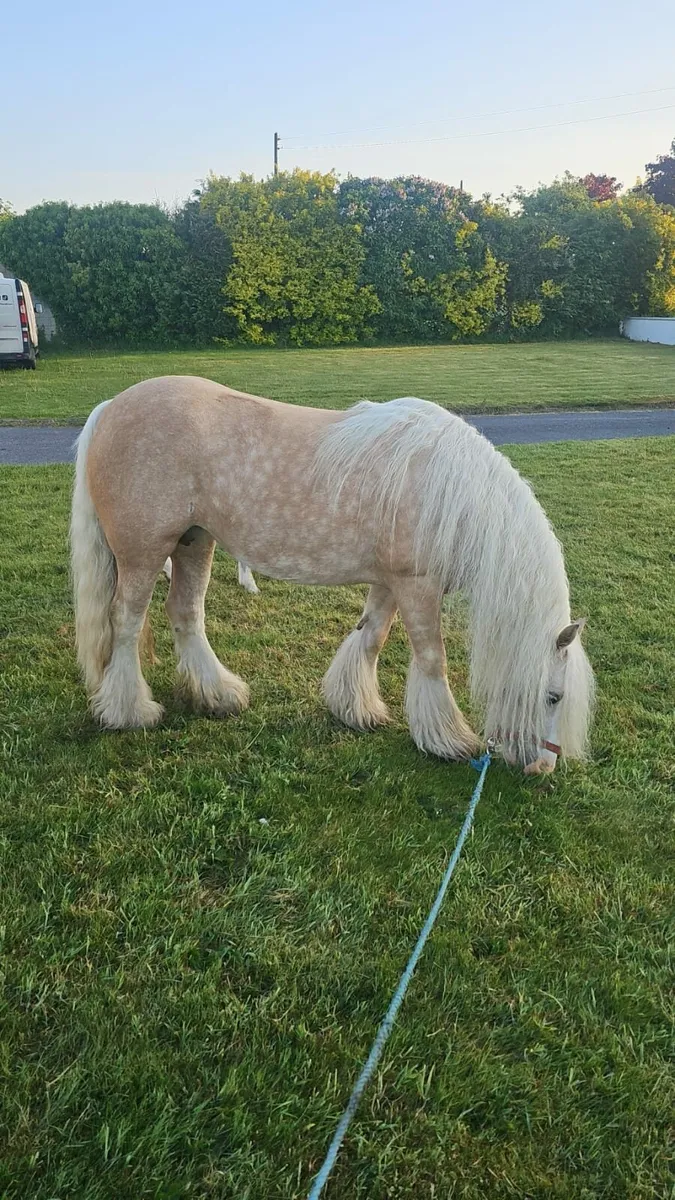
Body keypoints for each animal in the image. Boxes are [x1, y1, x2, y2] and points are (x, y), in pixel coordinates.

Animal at [70, 376, 594, 774]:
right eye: (552, 696)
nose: (542, 768)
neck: (453, 494)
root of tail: (110, 408)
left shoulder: (388, 583)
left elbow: (370, 637)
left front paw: (355, 709)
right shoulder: (417, 587)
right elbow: (432, 660)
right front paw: (448, 739)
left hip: (195, 541)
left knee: (185, 613)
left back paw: (218, 695)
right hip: (144, 555)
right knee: (126, 624)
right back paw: (131, 712)